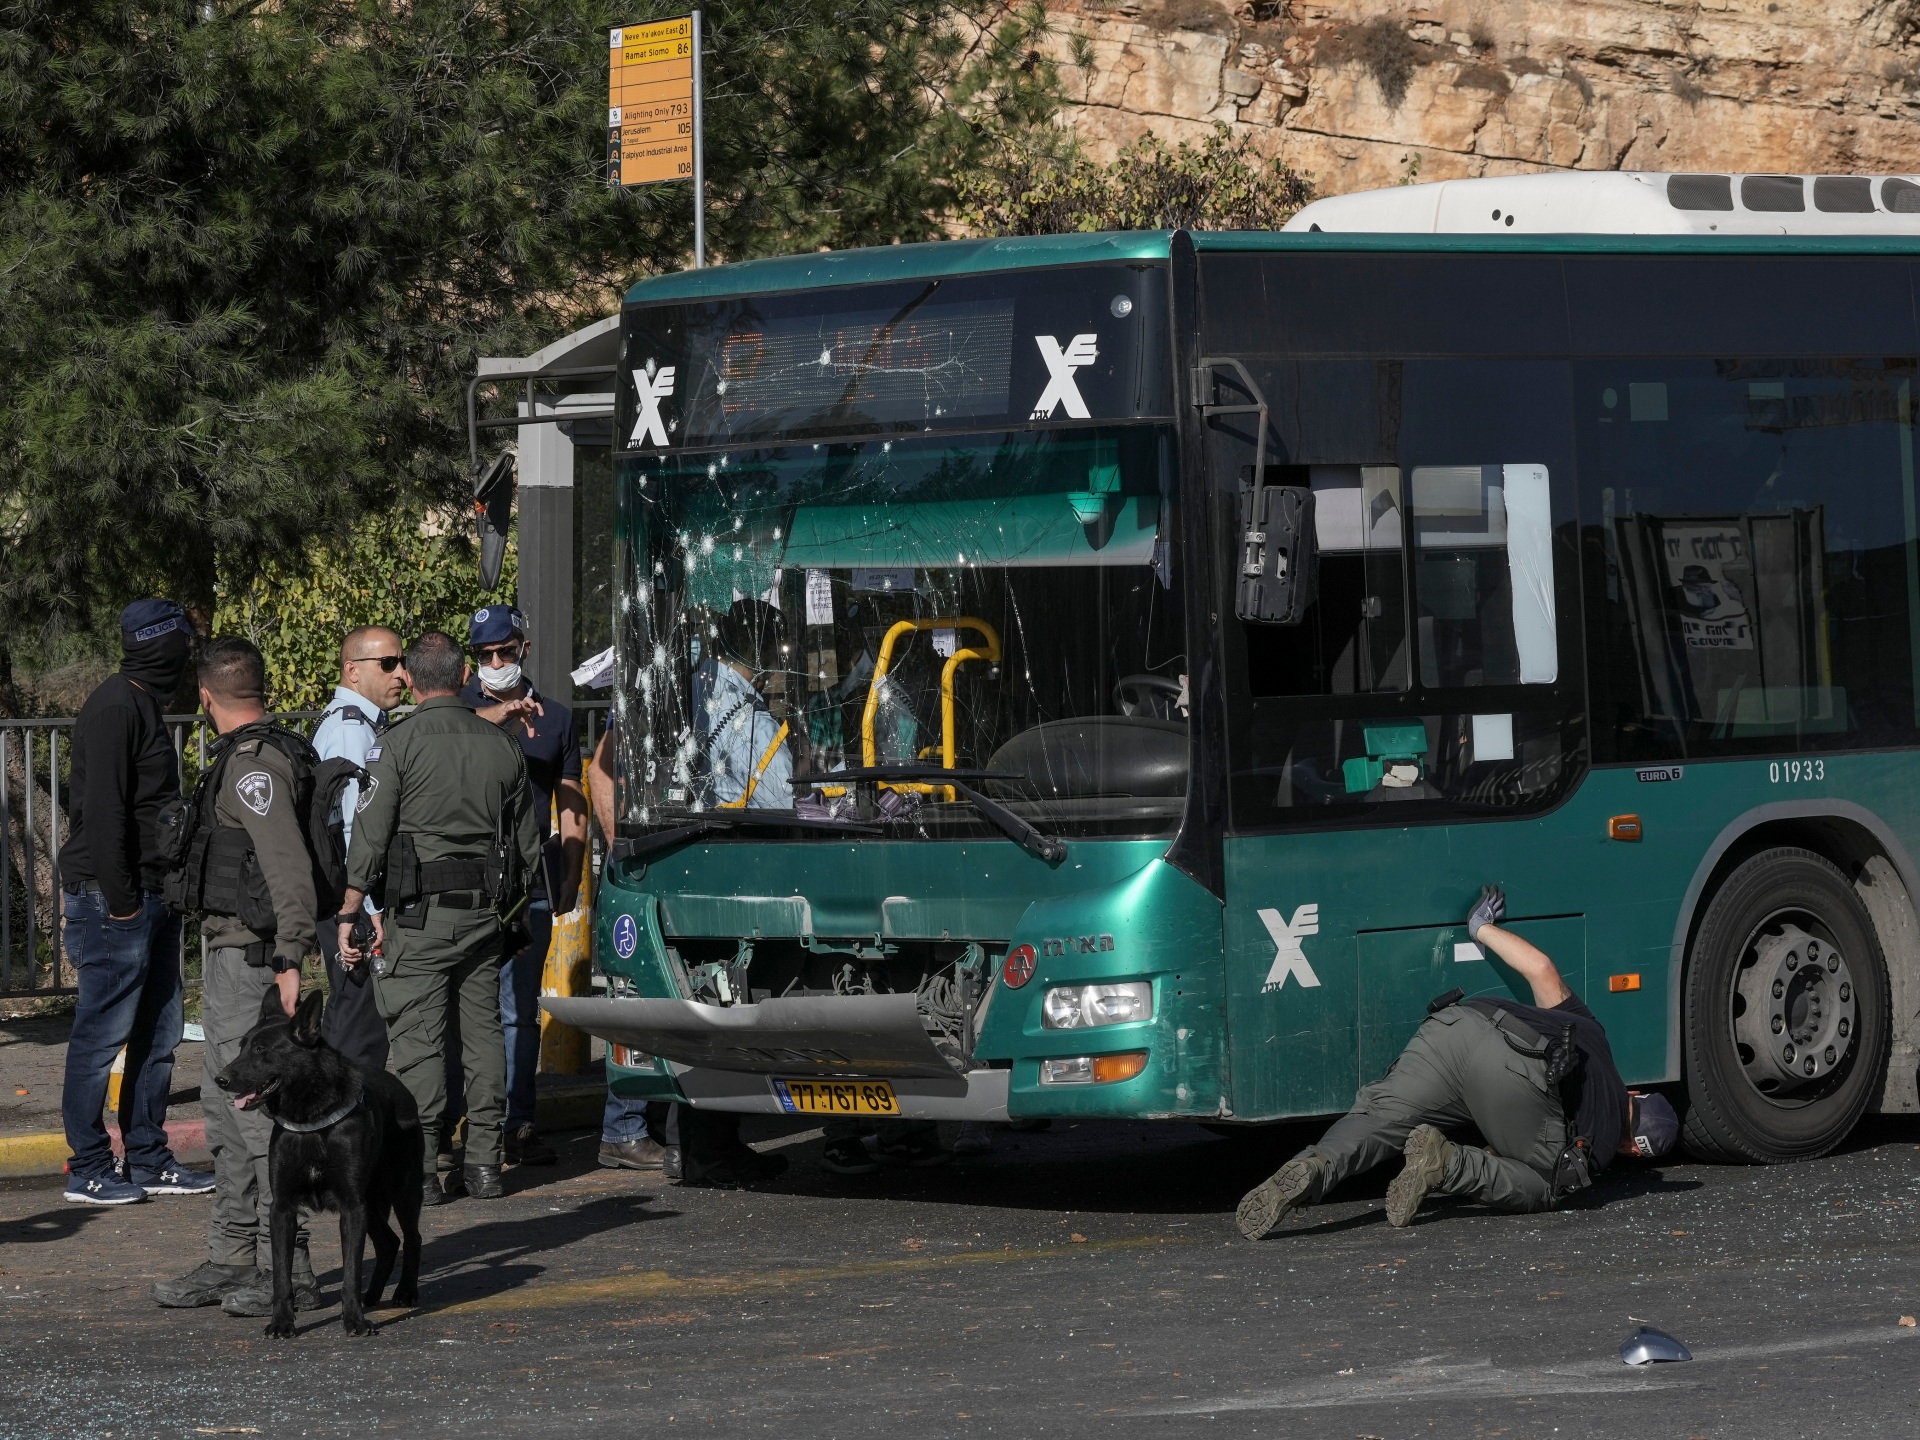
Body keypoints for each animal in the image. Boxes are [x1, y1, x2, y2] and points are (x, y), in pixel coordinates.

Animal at [218, 990, 428, 1344]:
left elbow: (351, 1274)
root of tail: (399, 1085)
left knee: (412, 1239)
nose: (220, 1079)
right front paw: (282, 1323)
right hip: (372, 1204)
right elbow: (282, 1277)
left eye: (261, 1050)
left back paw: (406, 1292)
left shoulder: (351, 1208)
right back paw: (373, 1295)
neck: (312, 1121)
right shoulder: (283, 1209)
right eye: (242, 1046)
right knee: (389, 1243)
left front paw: (353, 1320)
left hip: (402, 1193)